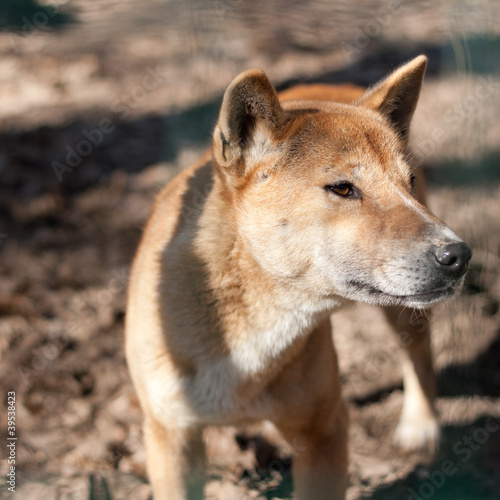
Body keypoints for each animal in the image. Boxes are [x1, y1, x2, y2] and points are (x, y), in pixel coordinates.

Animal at [125, 56, 468, 498]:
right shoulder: (171, 437)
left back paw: (420, 426)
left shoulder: (324, 430)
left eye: (407, 184)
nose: (458, 255)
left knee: (419, 352)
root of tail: (338, 83)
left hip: (404, 314)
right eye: (343, 188)